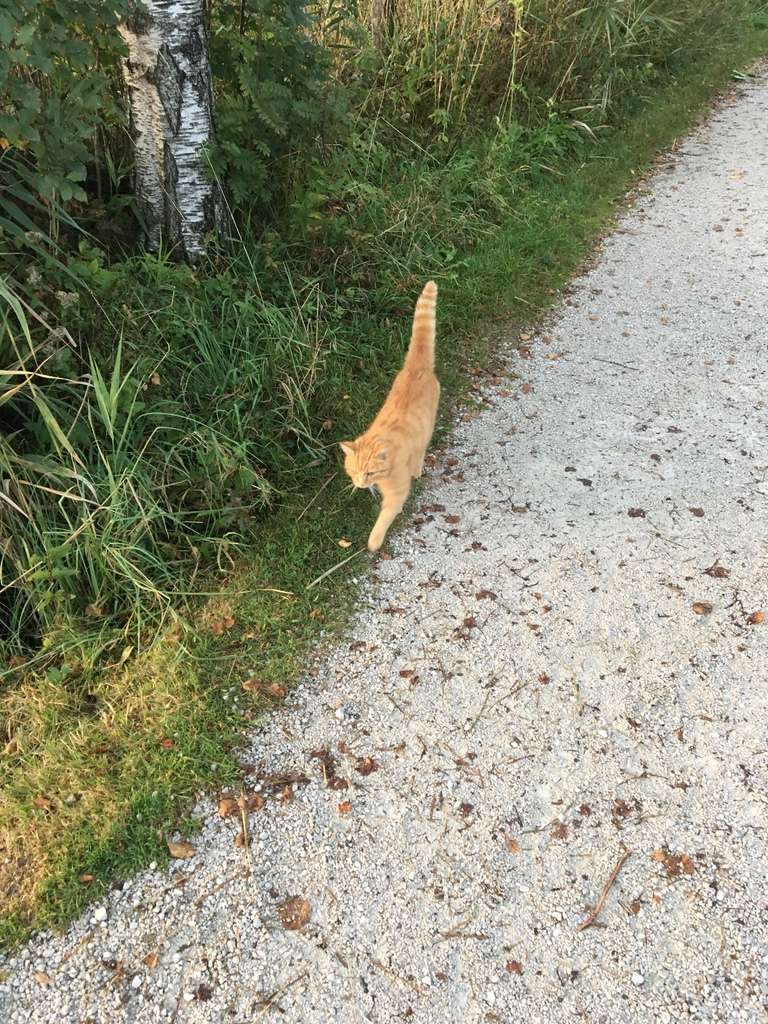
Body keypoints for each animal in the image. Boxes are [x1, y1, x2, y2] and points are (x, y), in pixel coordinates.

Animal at [342, 280, 442, 552]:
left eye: (370, 473)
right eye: (353, 470)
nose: (361, 484)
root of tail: (415, 367)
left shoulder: (397, 492)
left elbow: (386, 514)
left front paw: (373, 542)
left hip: (428, 426)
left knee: (422, 448)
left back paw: (417, 468)